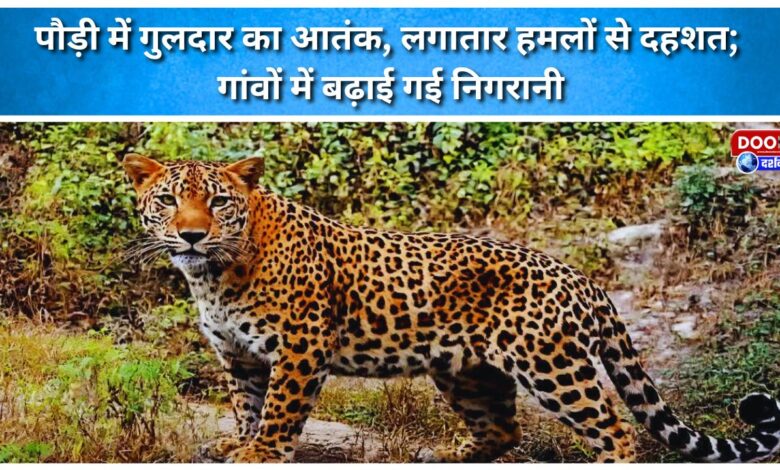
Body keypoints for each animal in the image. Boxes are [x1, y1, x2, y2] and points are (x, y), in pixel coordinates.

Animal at [122, 154, 780, 463]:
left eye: (218, 203)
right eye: (168, 201)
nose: (191, 236)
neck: (212, 275)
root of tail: (582, 278)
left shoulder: (300, 346)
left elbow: (280, 411)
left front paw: (261, 452)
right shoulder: (239, 356)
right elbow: (247, 407)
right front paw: (239, 444)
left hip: (552, 366)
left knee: (615, 427)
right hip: (468, 371)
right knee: (504, 428)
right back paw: (447, 454)